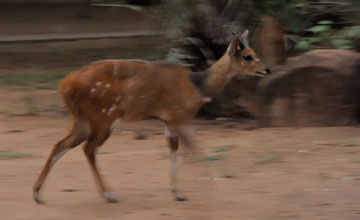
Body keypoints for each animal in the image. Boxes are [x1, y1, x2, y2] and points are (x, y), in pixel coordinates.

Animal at [33, 30, 270, 204]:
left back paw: (37, 194)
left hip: (82, 120)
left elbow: (176, 150)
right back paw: (109, 195)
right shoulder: (177, 118)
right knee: (88, 148)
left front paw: (178, 192)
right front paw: (208, 187)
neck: (197, 86)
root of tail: (65, 85)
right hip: (103, 119)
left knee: (60, 145)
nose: (266, 69)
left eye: (254, 51)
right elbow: (193, 150)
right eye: (247, 56)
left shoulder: (170, 122)